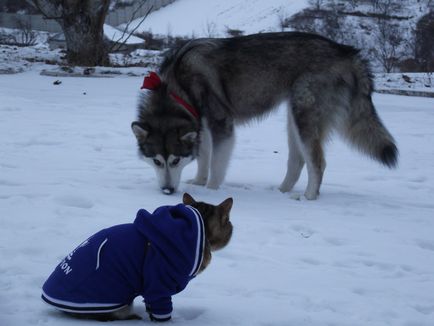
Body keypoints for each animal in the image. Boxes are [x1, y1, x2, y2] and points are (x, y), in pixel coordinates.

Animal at [131, 32, 396, 199]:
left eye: (175, 161)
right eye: (157, 161)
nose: (167, 191)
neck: (178, 88)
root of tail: (348, 52)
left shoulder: (221, 124)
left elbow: (216, 165)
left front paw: (210, 190)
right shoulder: (201, 125)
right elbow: (204, 158)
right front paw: (198, 182)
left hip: (304, 115)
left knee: (317, 163)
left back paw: (308, 196)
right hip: (293, 117)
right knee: (297, 161)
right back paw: (282, 191)